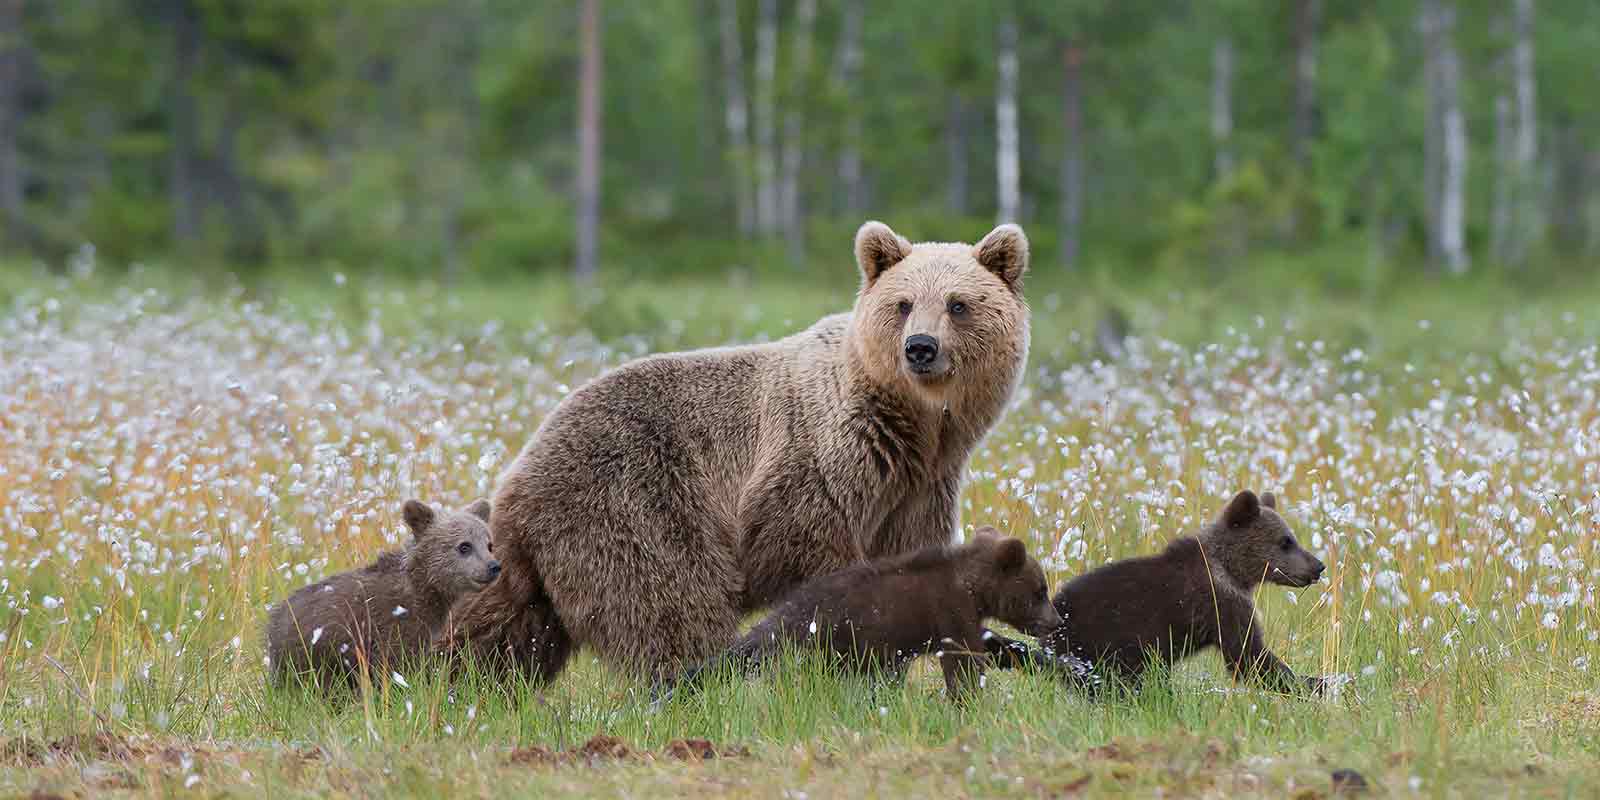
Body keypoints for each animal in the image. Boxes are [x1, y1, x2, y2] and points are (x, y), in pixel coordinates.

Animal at [267, 498, 502, 690]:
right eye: (464, 546)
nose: (493, 566)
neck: (426, 589)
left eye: (489, 544)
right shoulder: (392, 626)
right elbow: (394, 667)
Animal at [448, 221, 1032, 682]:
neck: (911, 429)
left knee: (508, 627)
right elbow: (808, 546)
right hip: (633, 504)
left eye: (958, 304)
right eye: (904, 303)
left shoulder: (918, 489)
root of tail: (516, 477)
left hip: (543, 556)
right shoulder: (818, 463)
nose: (920, 348)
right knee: (671, 606)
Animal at [656, 526, 1062, 703]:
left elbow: (983, 646)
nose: (1055, 620)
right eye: (1040, 590)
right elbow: (962, 658)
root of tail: (787, 612)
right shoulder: (949, 609)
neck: (973, 587)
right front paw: (969, 696)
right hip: (834, 633)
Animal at [984, 491, 1327, 695]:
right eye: (1286, 541)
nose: (1318, 566)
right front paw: (1315, 682)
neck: (1230, 569)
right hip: (1102, 645)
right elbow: (1248, 657)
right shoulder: (1221, 604)